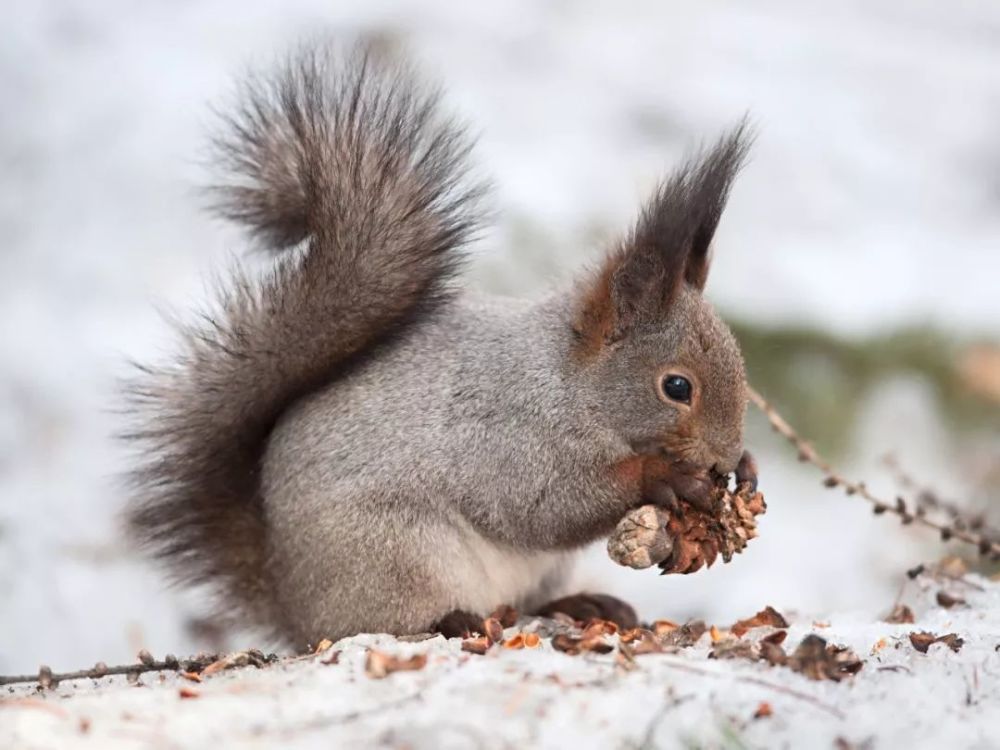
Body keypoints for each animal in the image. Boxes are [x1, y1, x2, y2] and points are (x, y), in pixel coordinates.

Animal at [131, 44, 756, 648]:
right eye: (676, 386)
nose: (724, 458)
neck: (570, 384)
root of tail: (295, 609)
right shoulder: (508, 436)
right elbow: (544, 506)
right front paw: (664, 474)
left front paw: (742, 472)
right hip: (399, 555)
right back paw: (453, 621)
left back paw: (580, 605)